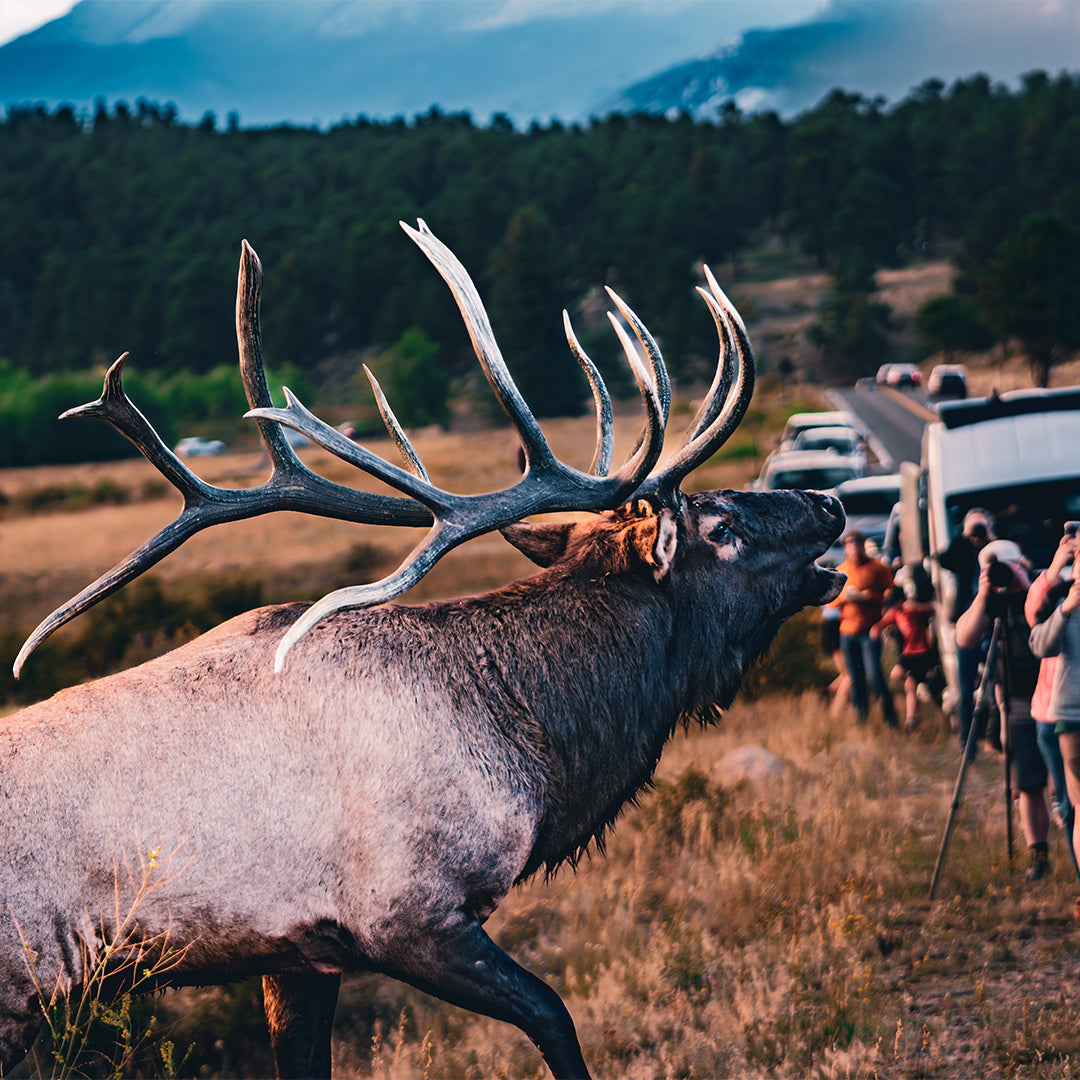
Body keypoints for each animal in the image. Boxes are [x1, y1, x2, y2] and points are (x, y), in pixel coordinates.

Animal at [0, 220, 845, 1079]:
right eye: (722, 528)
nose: (828, 502)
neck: (540, 755)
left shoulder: (300, 952)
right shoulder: (408, 916)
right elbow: (556, 1019)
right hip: (18, 990)